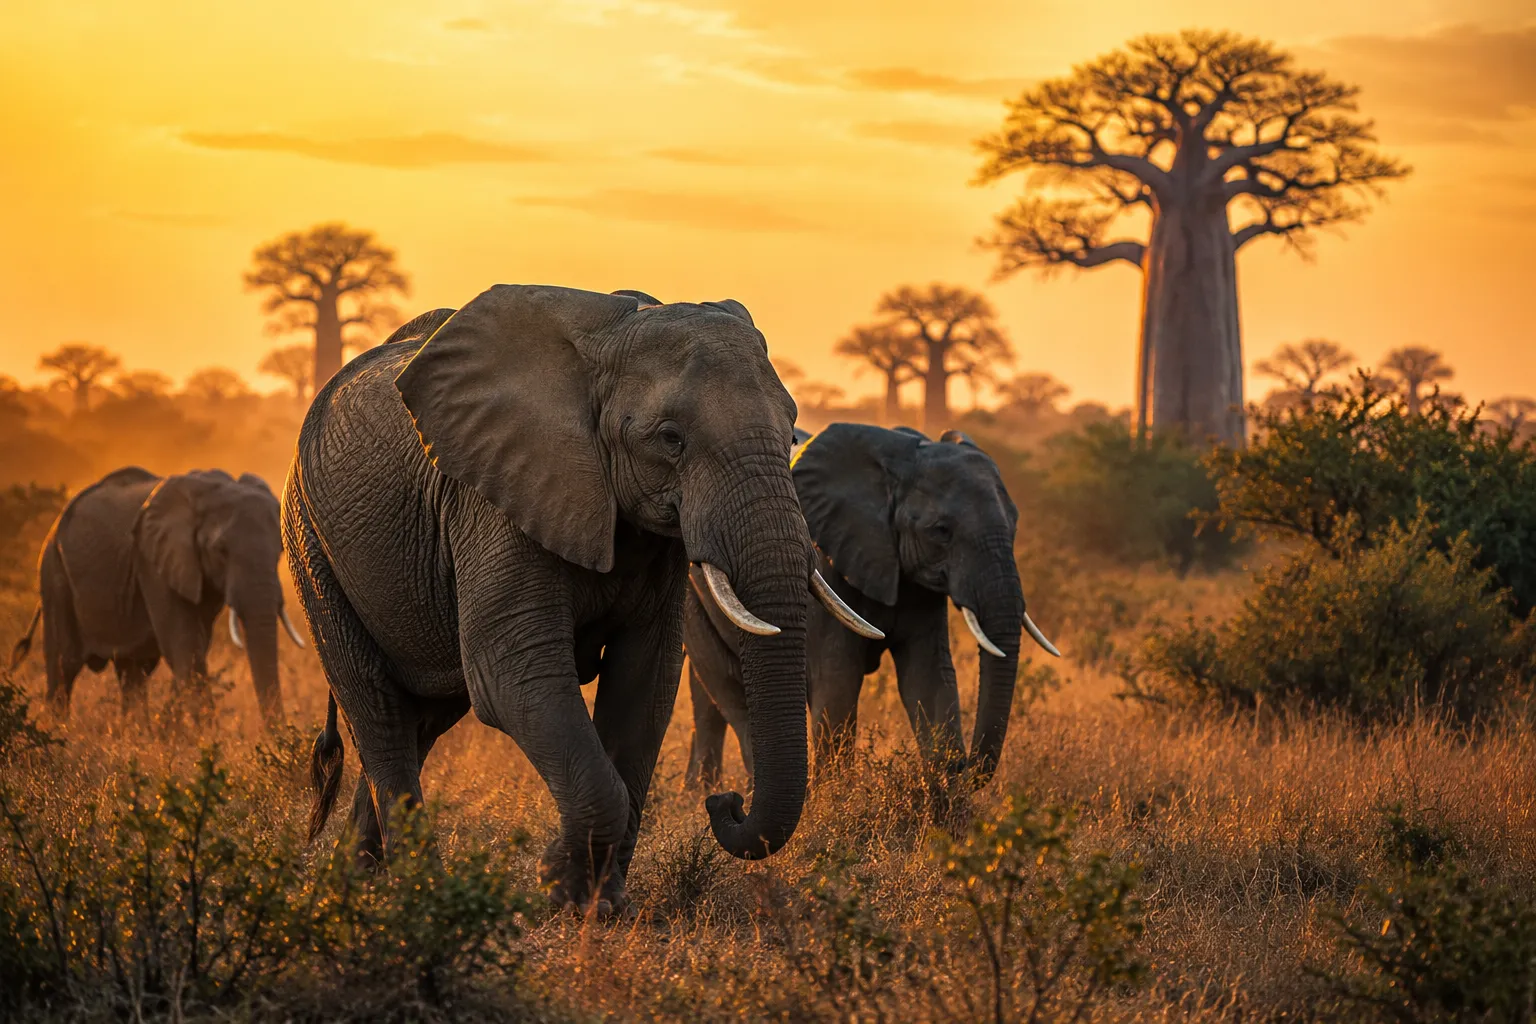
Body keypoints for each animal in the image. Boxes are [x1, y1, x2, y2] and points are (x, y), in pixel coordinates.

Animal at [10, 467, 306, 727]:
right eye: (220, 550)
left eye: (281, 550)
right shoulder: (153, 564)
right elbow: (185, 647)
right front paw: (206, 742)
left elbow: (193, 649)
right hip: (53, 575)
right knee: (64, 668)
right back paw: (57, 735)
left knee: (132, 673)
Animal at [287, 285, 880, 913]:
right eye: (670, 439)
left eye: (792, 430)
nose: (725, 803)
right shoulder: (497, 499)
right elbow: (512, 676)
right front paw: (562, 887)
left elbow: (645, 679)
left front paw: (603, 903)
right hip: (310, 544)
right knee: (378, 709)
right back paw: (417, 893)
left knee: (420, 718)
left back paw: (354, 886)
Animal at [685, 422, 1059, 791]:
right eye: (941, 531)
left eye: (1015, 524)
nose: (965, 768)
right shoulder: (830, 565)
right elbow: (838, 682)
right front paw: (833, 800)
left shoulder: (916, 585)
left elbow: (929, 678)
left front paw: (946, 791)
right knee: (729, 687)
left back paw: (699, 791)